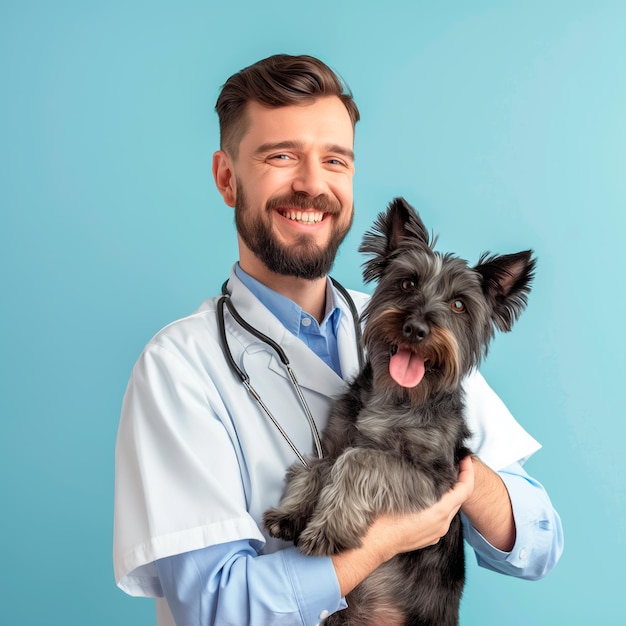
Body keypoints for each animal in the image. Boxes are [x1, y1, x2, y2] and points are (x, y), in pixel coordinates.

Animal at [260, 196, 532, 624]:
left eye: (459, 304)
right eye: (407, 283)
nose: (416, 329)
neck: (398, 396)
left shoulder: (433, 480)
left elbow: (358, 460)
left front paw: (327, 528)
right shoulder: (337, 440)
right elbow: (318, 466)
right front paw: (292, 513)